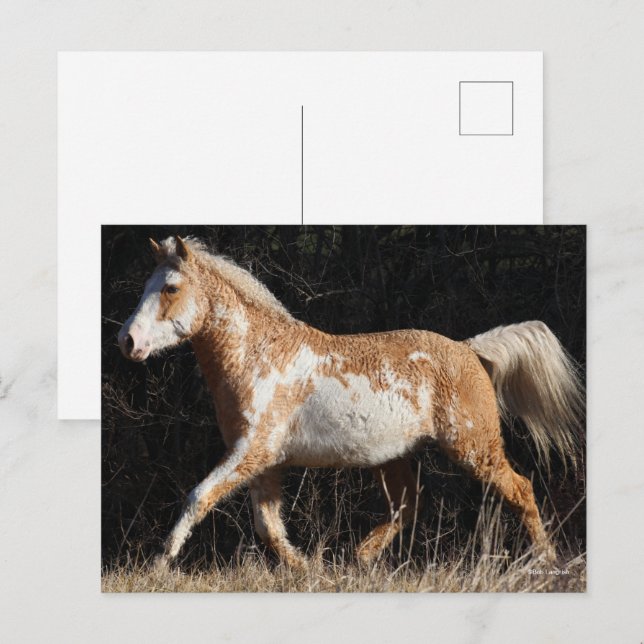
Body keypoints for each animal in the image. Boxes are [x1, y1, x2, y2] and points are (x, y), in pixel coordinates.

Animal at [117, 235, 584, 570]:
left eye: (171, 288)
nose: (128, 341)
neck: (258, 355)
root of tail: (469, 349)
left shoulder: (253, 451)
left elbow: (198, 497)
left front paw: (159, 563)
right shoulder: (263, 462)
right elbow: (269, 528)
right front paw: (308, 570)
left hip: (474, 448)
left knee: (520, 490)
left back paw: (546, 562)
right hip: (394, 458)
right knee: (406, 506)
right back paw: (360, 557)